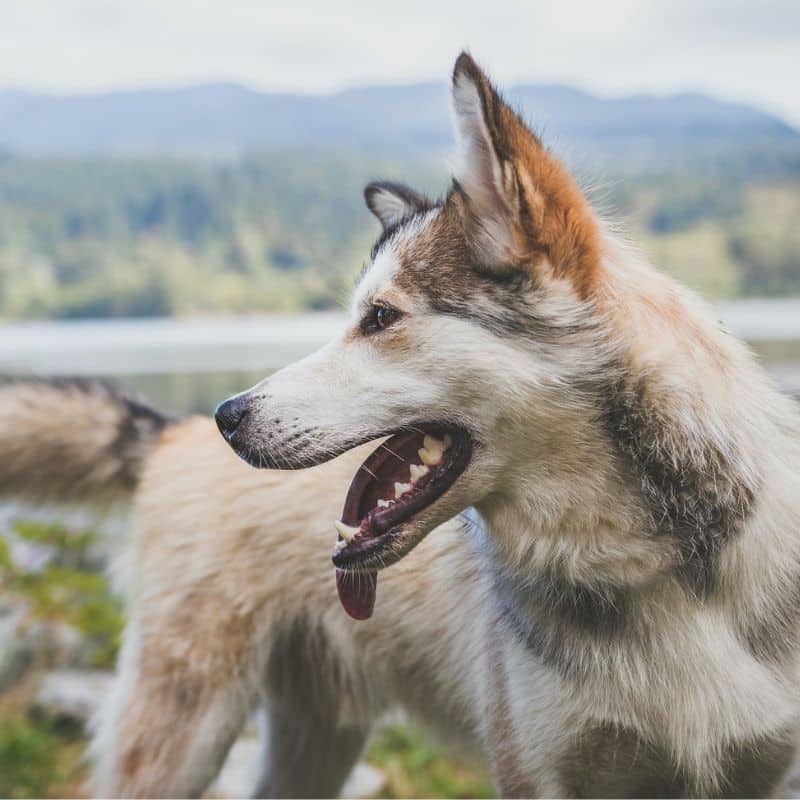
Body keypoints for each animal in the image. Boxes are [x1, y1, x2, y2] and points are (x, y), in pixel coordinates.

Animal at [4, 53, 800, 796]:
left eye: (380, 318)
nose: (229, 416)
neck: (665, 574)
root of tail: (170, 431)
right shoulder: (537, 773)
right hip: (182, 737)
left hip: (312, 744)